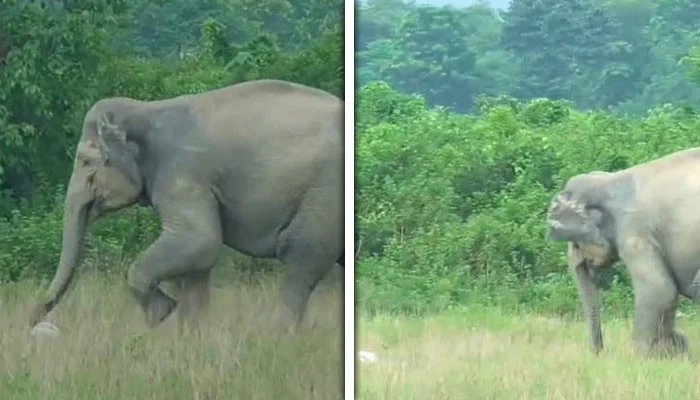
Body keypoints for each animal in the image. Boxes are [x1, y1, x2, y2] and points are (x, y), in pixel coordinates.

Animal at [28, 79, 344, 333]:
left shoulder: (184, 174)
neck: (146, 110)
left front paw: (162, 312)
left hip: (325, 196)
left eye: (85, 162)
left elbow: (199, 241)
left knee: (301, 257)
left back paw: (277, 337)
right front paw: (192, 337)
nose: (33, 321)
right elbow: (198, 262)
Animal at [547, 147, 700, 357]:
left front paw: (646, 354)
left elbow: (659, 289)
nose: (598, 353)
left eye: (576, 244)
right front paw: (674, 349)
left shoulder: (636, 234)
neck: (610, 180)